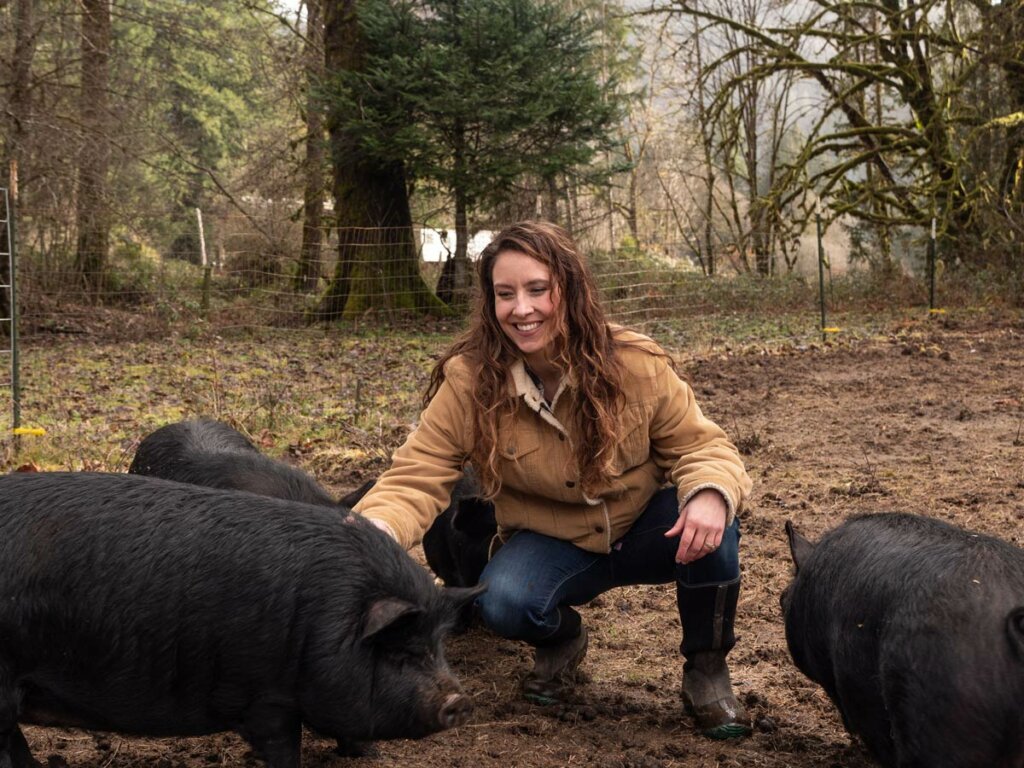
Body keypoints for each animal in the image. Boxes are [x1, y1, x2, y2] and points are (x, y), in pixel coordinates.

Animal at [0, 473, 483, 768]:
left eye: (438, 646)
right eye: (401, 651)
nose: (459, 701)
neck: (322, 622)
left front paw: (367, 756)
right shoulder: (264, 697)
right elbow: (284, 747)